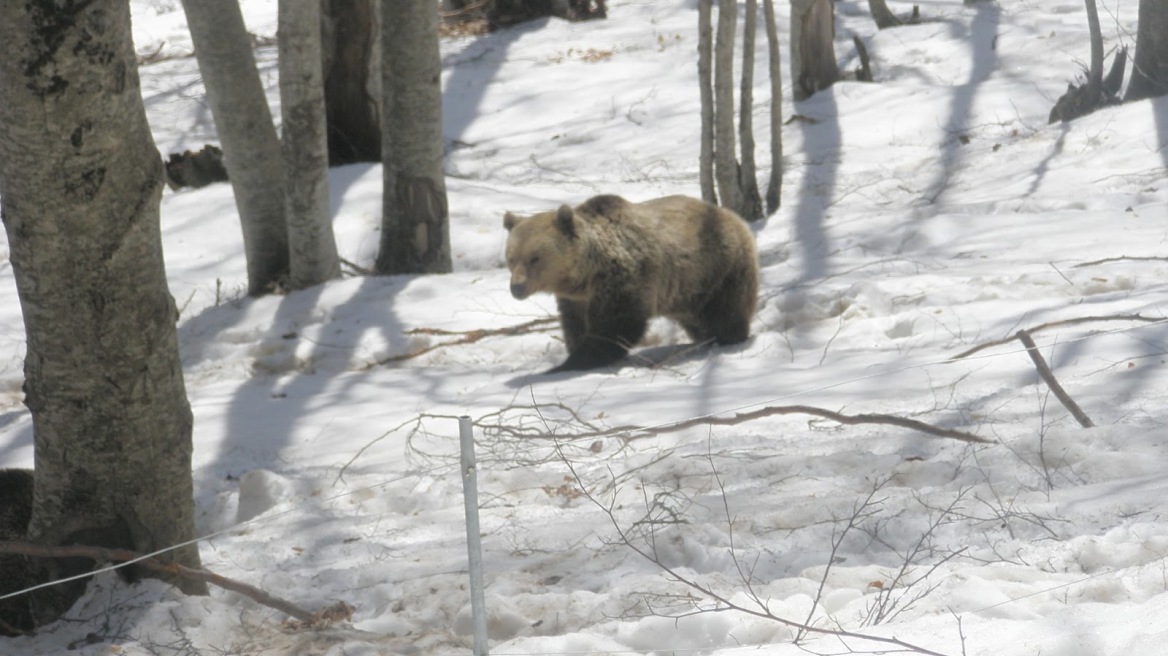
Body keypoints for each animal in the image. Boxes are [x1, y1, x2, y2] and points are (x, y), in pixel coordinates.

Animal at [502, 191, 756, 371]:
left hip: (716, 267)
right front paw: (574, 351)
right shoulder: (576, 299)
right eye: (511, 258)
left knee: (726, 310)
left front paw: (573, 362)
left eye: (535, 258)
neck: (586, 274)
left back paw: (728, 337)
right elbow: (575, 325)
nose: (517, 287)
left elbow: (616, 325)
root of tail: (733, 216)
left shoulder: (623, 279)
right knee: (698, 319)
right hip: (688, 291)